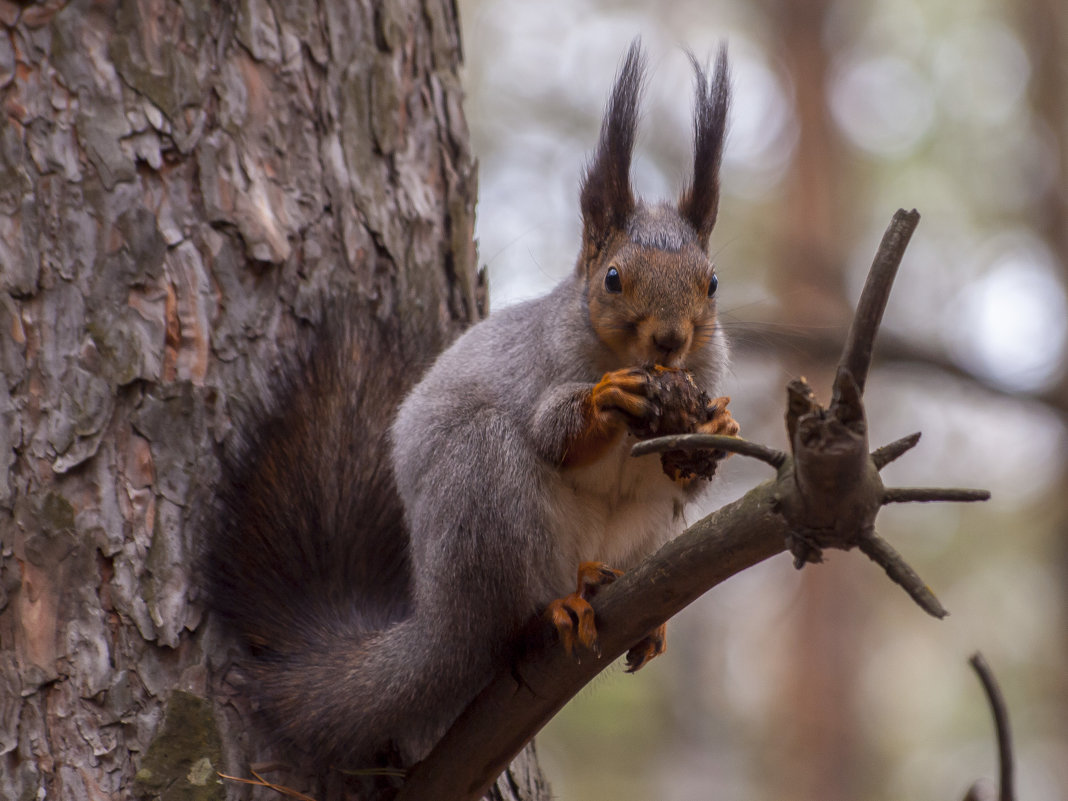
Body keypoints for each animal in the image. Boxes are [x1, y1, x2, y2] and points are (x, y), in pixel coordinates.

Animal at [206, 40, 743, 773]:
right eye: (612, 278)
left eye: (711, 283)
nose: (670, 339)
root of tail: (441, 617)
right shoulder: (536, 367)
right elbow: (552, 433)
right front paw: (606, 400)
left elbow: (686, 466)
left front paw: (717, 423)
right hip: (485, 497)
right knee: (510, 605)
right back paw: (558, 605)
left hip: (644, 532)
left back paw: (630, 607)